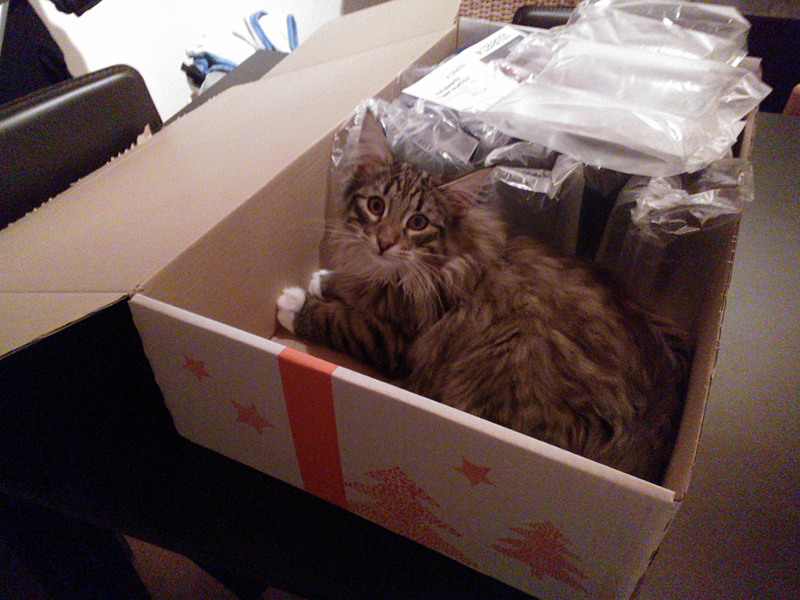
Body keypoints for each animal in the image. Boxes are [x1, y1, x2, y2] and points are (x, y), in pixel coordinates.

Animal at [277, 110, 689, 483]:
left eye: (418, 223)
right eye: (376, 205)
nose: (384, 241)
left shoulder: (395, 338)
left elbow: (344, 319)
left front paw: (297, 304)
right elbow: (358, 285)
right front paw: (325, 279)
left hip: (515, 345)